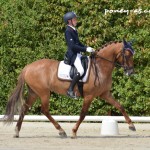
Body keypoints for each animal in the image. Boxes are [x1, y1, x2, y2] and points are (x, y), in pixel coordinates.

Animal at [3, 39, 136, 138]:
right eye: (127, 55)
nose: (130, 72)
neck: (100, 67)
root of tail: (28, 67)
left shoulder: (105, 94)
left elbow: (120, 106)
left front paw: (131, 126)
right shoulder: (89, 96)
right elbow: (83, 114)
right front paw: (74, 132)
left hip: (34, 93)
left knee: (25, 108)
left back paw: (17, 132)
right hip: (44, 92)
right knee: (44, 110)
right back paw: (61, 131)